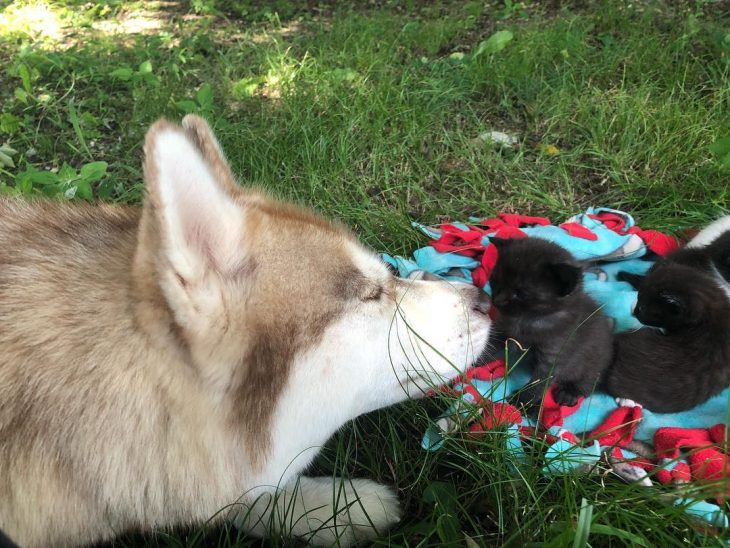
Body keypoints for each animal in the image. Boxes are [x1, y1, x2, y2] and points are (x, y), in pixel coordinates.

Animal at [486, 238, 612, 408]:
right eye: (495, 280)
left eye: (520, 294)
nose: (496, 301)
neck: (527, 320)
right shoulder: (504, 334)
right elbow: (489, 348)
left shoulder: (554, 356)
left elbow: (539, 383)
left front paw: (523, 400)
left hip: (594, 363)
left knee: (589, 382)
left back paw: (569, 393)